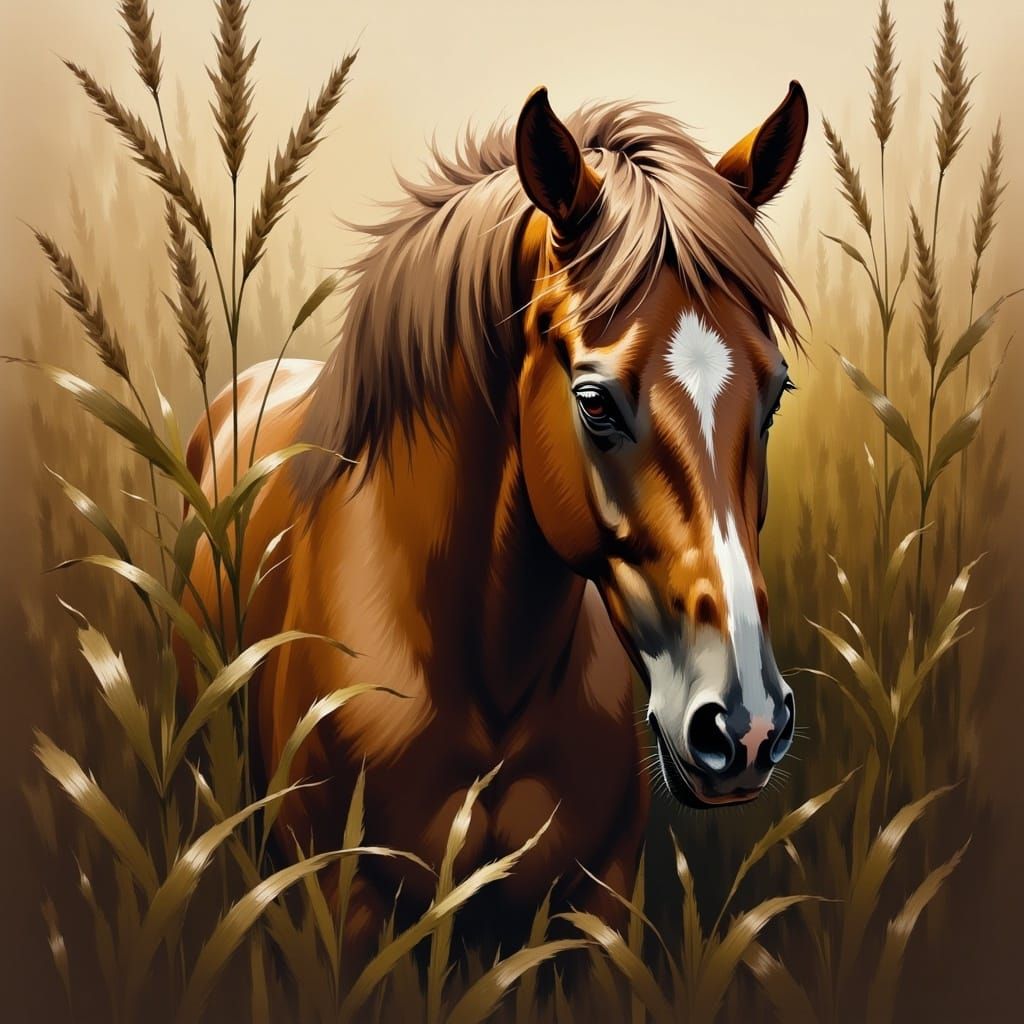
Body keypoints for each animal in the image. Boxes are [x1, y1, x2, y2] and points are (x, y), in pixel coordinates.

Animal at [178, 82, 809, 953]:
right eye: (594, 402)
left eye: (775, 394)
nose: (744, 726)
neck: (489, 683)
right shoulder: (342, 908)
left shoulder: (596, 906)